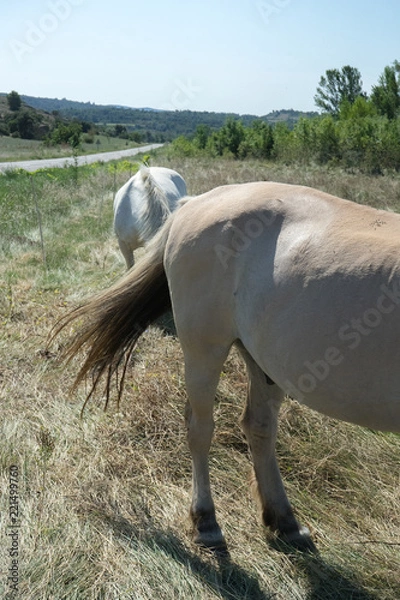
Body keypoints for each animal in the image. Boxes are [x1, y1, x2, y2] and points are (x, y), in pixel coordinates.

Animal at [54, 183, 400, 552]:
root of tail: (197, 203)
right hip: (204, 349)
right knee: (200, 428)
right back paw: (207, 521)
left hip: (260, 360)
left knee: (259, 427)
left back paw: (284, 521)